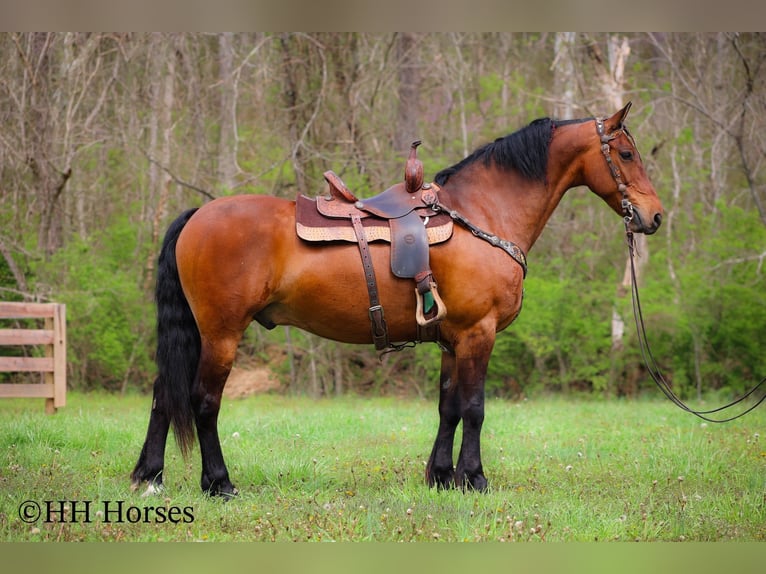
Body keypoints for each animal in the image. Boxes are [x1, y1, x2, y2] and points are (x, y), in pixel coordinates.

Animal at [131, 102, 663, 496]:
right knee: (203, 400)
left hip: (199, 332)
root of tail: (198, 215)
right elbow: (474, 407)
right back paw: (218, 483)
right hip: (221, 332)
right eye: (627, 154)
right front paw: (474, 478)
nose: (654, 216)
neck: (481, 214)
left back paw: (149, 476)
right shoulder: (479, 332)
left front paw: (442, 477)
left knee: (163, 394)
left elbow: (449, 406)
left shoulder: (453, 339)